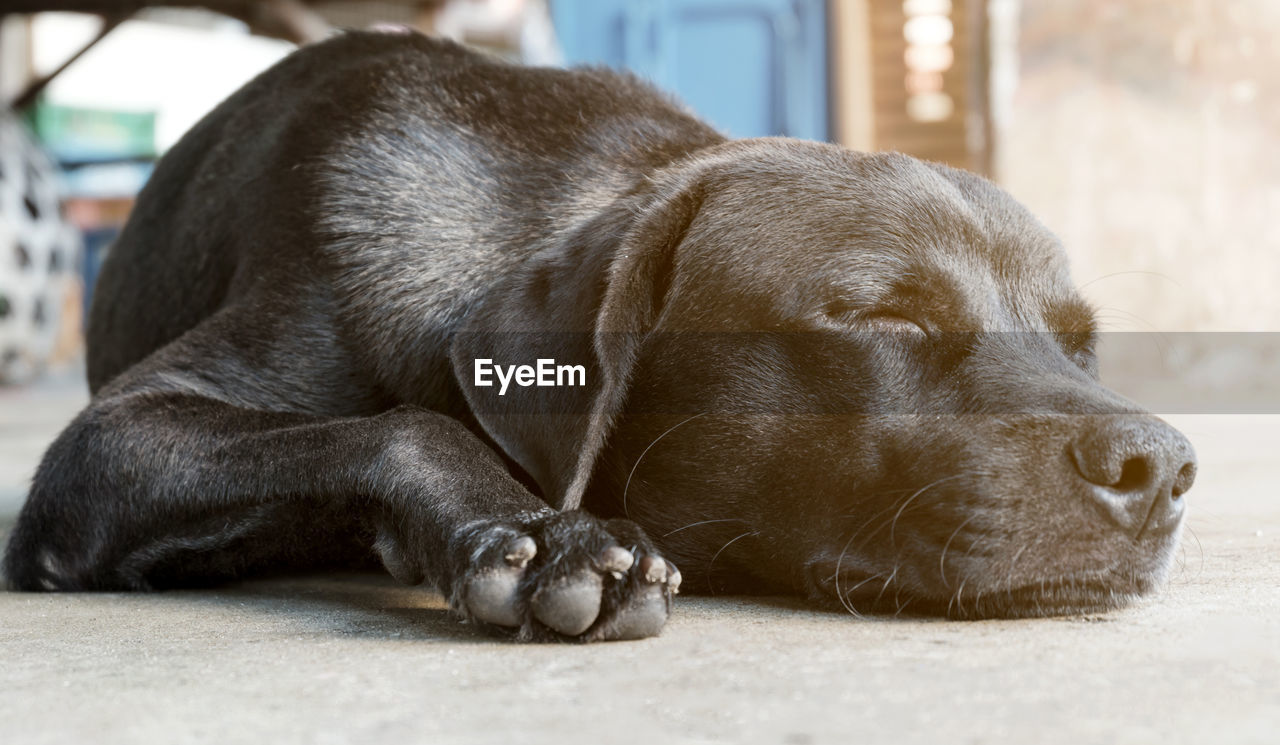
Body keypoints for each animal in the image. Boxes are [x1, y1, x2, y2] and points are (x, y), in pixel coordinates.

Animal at [5, 32, 1192, 642]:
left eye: (1081, 346)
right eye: (878, 315)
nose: (1162, 465)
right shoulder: (105, 444)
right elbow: (403, 426)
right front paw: (543, 535)